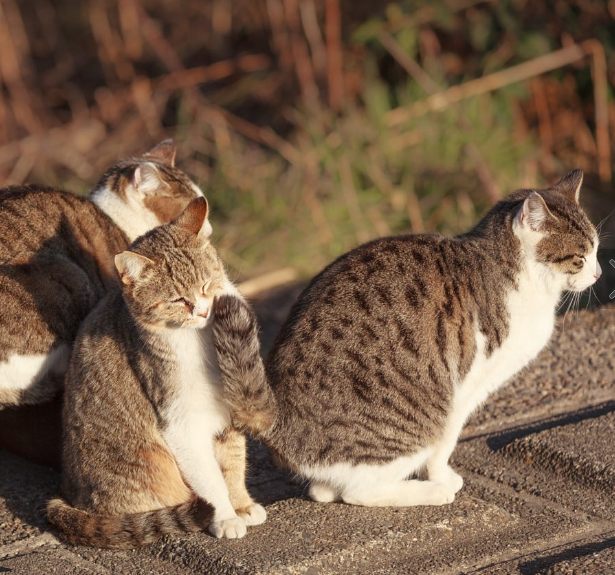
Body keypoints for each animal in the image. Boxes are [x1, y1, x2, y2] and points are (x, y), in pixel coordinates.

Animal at [47, 198, 270, 548]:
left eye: (207, 283)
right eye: (177, 299)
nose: (203, 311)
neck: (203, 341)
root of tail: (67, 496)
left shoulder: (231, 407)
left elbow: (233, 464)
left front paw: (242, 505)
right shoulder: (181, 424)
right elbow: (211, 478)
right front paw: (224, 516)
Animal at [219, 170, 604, 508]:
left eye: (598, 250)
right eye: (580, 257)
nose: (600, 273)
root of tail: (278, 419)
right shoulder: (463, 391)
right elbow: (445, 444)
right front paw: (442, 478)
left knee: (324, 490)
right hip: (413, 423)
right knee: (359, 492)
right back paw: (430, 492)